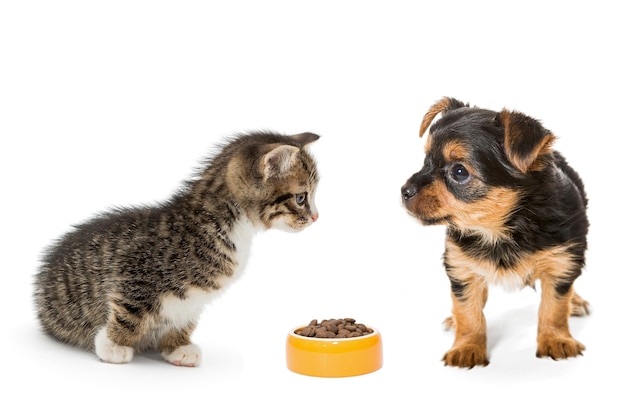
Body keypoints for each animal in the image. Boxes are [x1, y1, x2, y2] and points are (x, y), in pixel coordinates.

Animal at [33, 130, 320, 366]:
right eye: (301, 198)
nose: (316, 217)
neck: (227, 223)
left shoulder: (193, 299)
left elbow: (184, 317)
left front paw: (177, 347)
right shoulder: (135, 273)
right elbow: (128, 311)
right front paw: (113, 345)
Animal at [400, 97, 588, 368]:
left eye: (459, 172)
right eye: (426, 161)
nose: (404, 191)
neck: (499, 230)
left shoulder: (561, 259)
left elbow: (554, 307)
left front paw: (555, 340)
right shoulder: (462, 267)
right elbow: (468, 311)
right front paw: (467, 347)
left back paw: (577, 302)